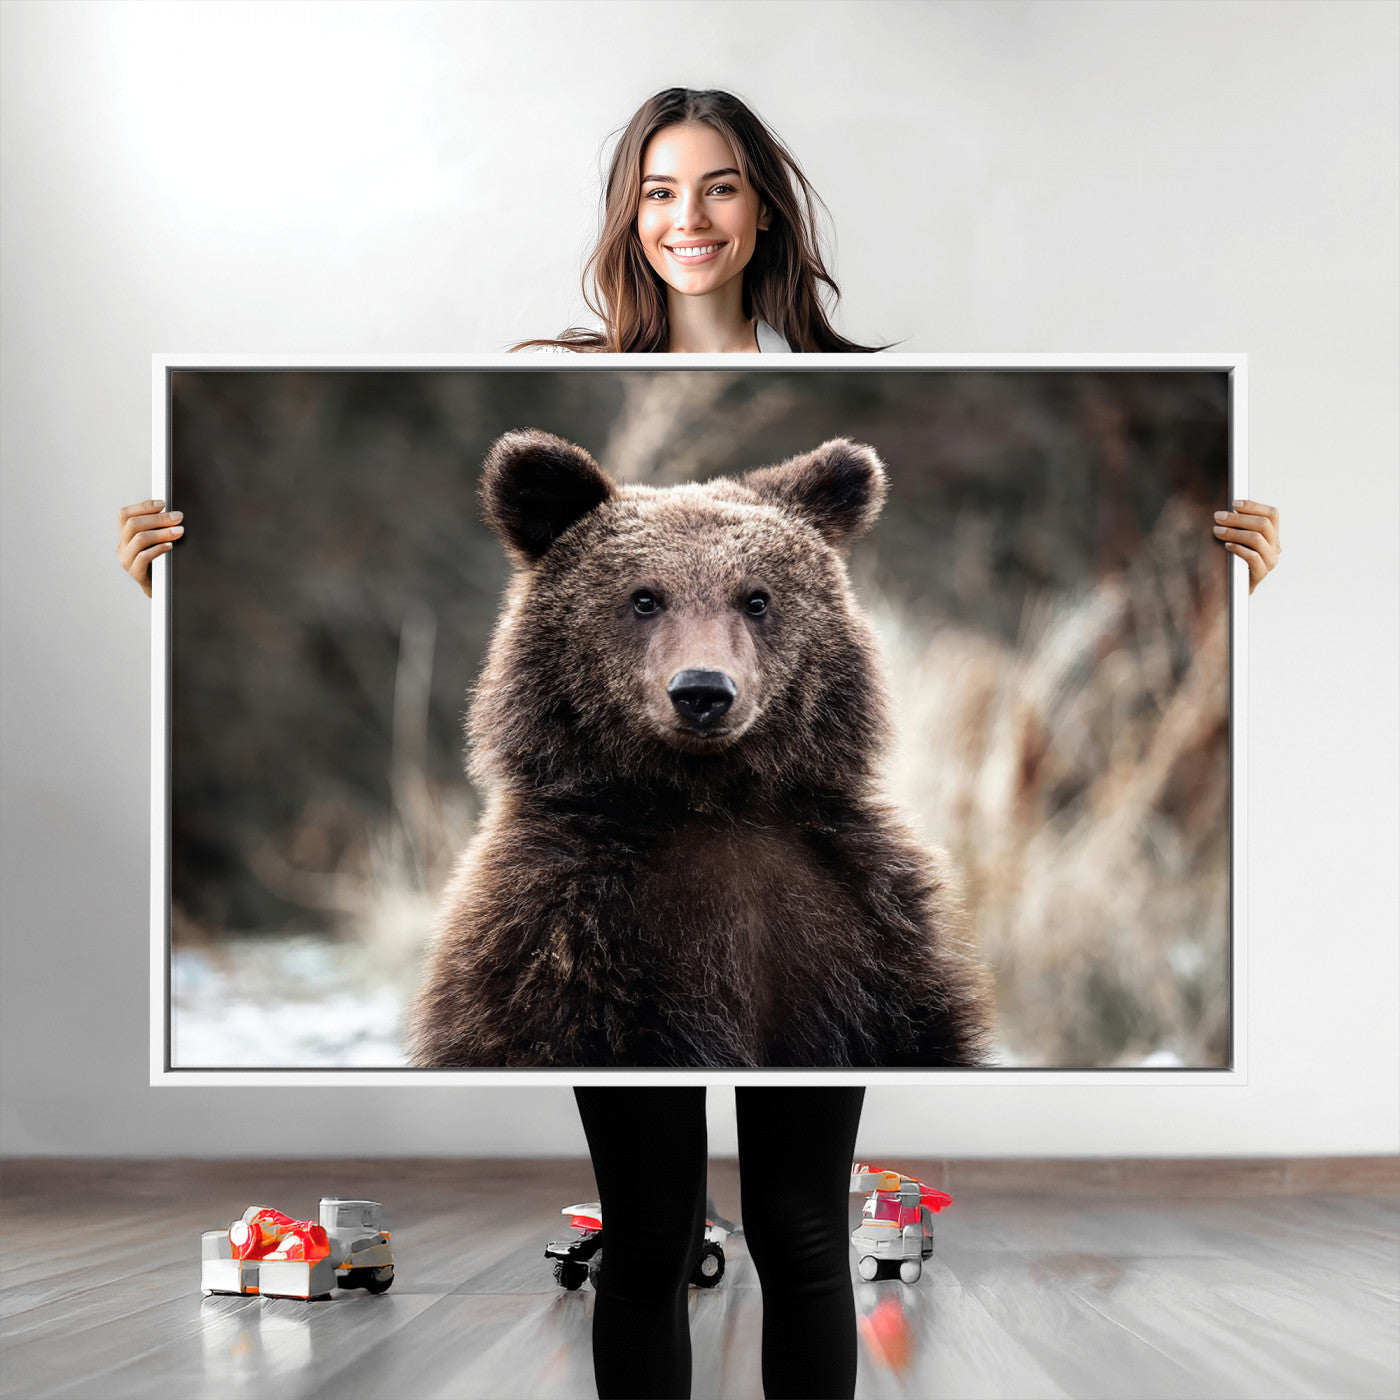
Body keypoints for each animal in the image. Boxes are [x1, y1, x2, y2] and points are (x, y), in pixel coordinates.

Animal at [406, 428, 992, 1068]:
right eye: (644, 598)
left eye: (757, 598)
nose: (702, 691)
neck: (710, 800)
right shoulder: (557, 934)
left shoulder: (869, 928)